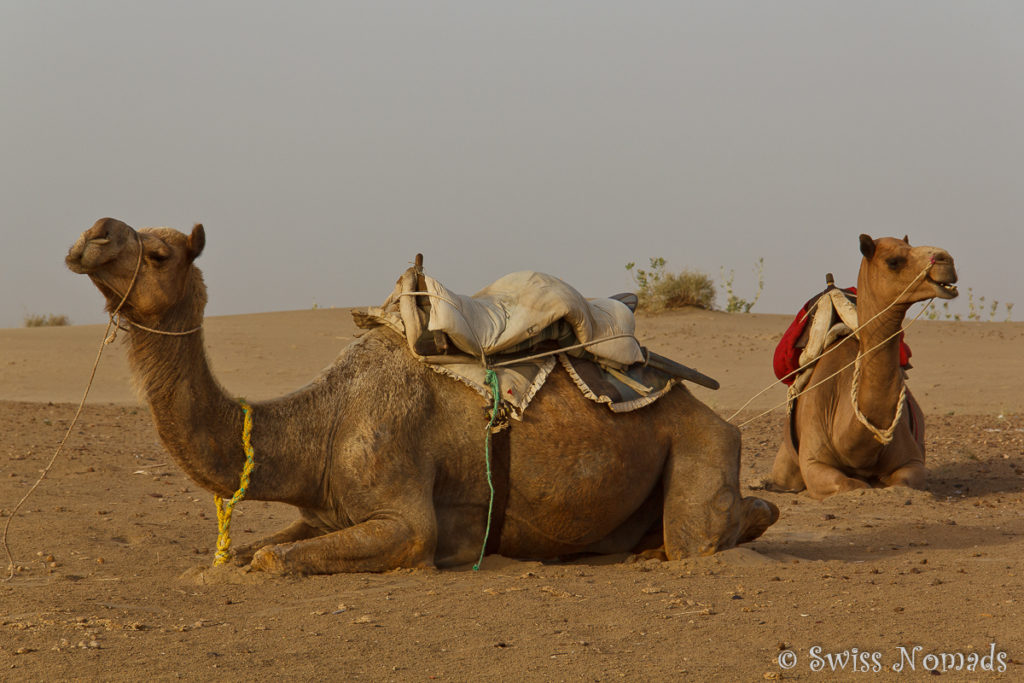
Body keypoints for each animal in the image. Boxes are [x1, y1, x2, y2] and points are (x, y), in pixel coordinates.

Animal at [68, 218, 778, 573]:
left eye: (161, 254)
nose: (93, 233)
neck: (321, 423)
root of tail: (712, 410)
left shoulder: (406, 518)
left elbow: (273, 560)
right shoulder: (324, 512)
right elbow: (244, 552)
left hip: (701, 440)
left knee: (702, 534)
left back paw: (668, 547)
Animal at [770, 237, 958, 499]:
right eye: (893, 261)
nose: (945, 260)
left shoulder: (913, 461)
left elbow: (902, 481)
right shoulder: (814, 462)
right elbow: (851, 484)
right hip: (785, 465)